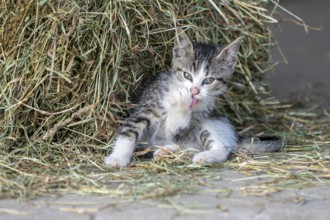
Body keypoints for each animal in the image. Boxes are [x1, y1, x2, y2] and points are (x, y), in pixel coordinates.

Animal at [104, 28, 282, 167]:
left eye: (209, 80)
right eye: (187, 75)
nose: (194, 91)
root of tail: (236, 136)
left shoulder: (188, 121)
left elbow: (177, 122)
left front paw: (184, 102)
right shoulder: (145, 109)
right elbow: (128, 133)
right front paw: (117, 158)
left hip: (207, 123)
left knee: (223, 148)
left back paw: (205, 156)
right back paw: (166, 151)